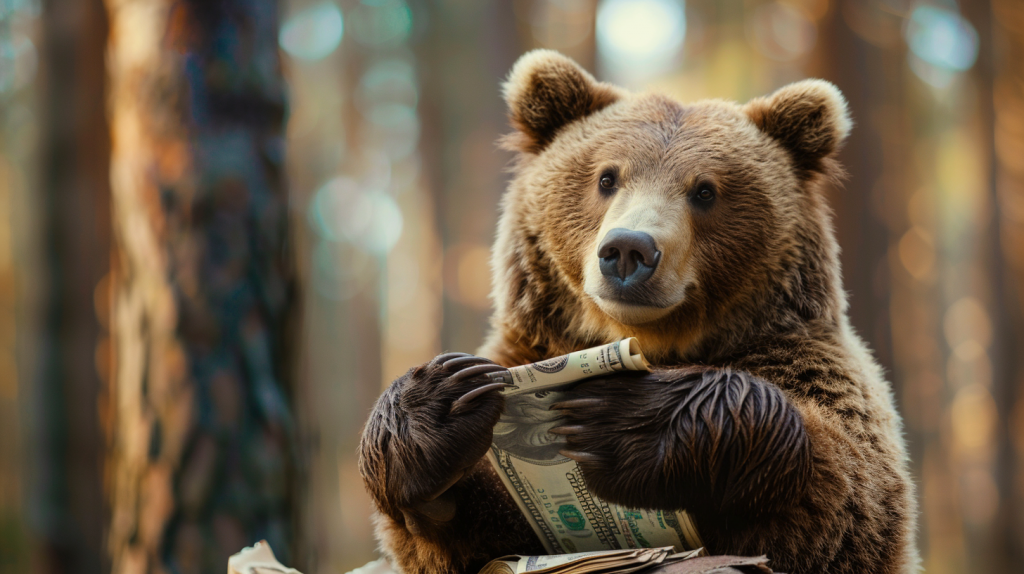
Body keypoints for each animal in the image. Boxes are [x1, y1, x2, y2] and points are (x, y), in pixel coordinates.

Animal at [359, 49, 918, 574]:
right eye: (607, 178)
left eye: (705, 190)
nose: (629, 249)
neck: (648, 338)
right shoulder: (527, 347)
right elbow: (465, 527)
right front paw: (442, 400)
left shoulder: (803, 361)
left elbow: (850, 494)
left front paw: (624, 417)